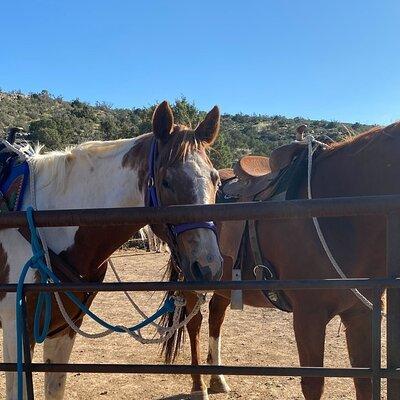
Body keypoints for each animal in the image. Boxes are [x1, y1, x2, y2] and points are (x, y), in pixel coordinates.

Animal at [162, 121, 400, 400]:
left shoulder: (360, 314)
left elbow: (365, 382)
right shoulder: (309, 316)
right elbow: (313, 385)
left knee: (215, 317)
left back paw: (218, 379)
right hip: (193, 276)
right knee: (195, 324)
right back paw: (199, 386)